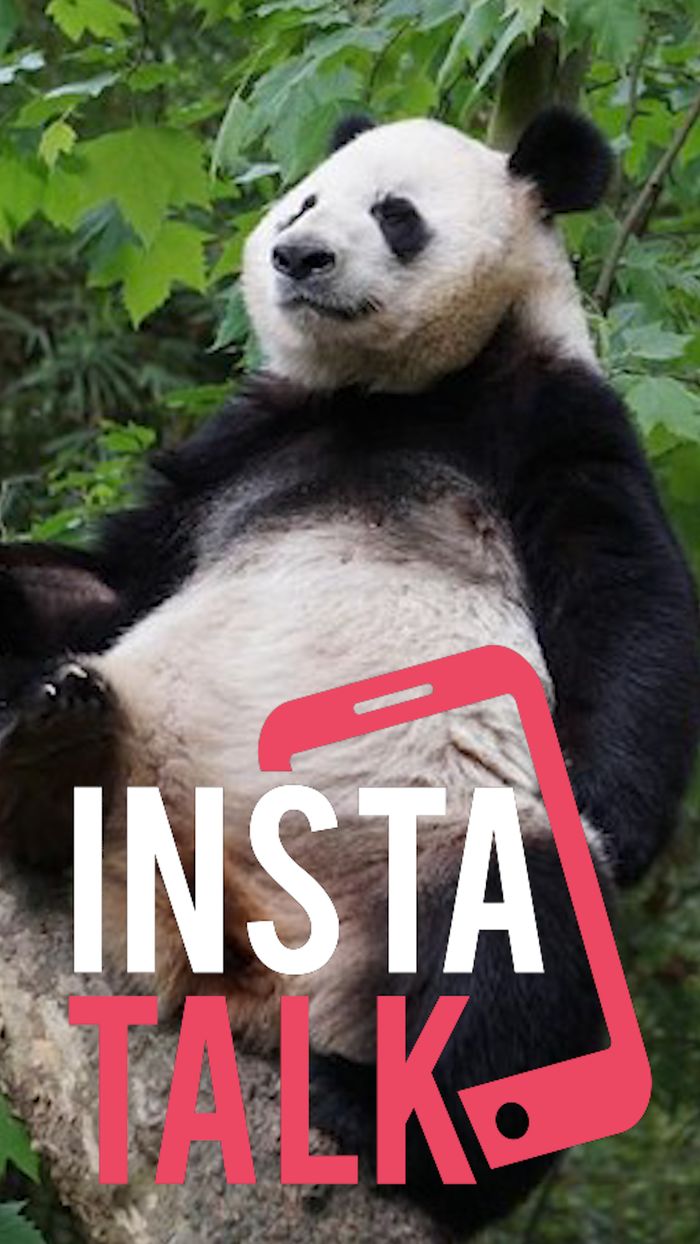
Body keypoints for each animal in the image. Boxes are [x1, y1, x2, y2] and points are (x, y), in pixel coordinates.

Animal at [0, 108, 698, 1233]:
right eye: (304, 201)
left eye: (395, 214)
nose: (298, 256)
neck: (394, 393)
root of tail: (240, 964)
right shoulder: (249, 438)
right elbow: (121, 577)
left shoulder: (553, 412)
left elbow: (625, 596)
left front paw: (613, 823)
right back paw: (50, 744)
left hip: (415, 859)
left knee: (520, 936)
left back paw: (397, 1126)